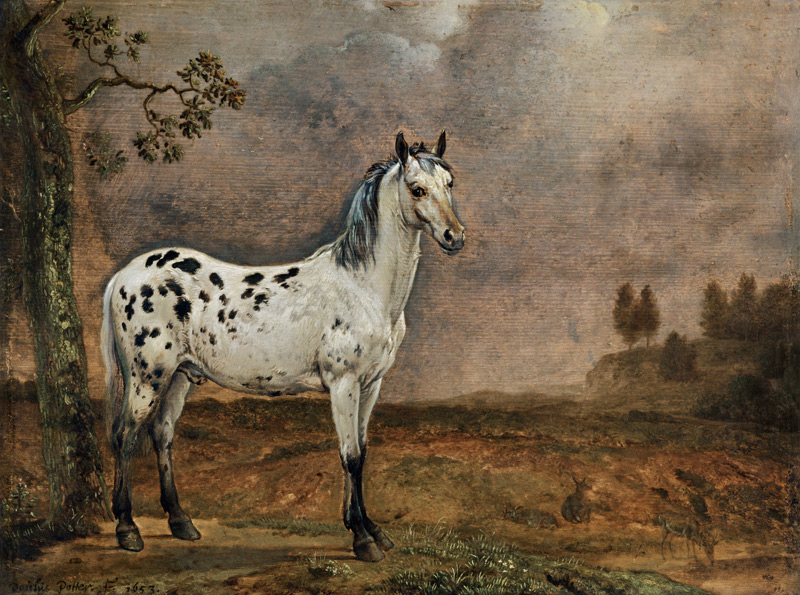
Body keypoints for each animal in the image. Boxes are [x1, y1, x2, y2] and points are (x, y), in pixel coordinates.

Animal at [101, 131, 465, 562]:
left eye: (450, 184)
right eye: (417, 188)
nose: (456, 237)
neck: (363, 288)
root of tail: (124, 275)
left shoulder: (371, 385)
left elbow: (361, 452)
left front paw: (370, 528)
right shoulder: (343, 385)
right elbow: (350, 456)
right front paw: (363, 539)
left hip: (180, 376)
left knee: (162, 434)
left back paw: (180, 522)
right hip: (146, 378)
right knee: (125, 436)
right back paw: (127, 529)